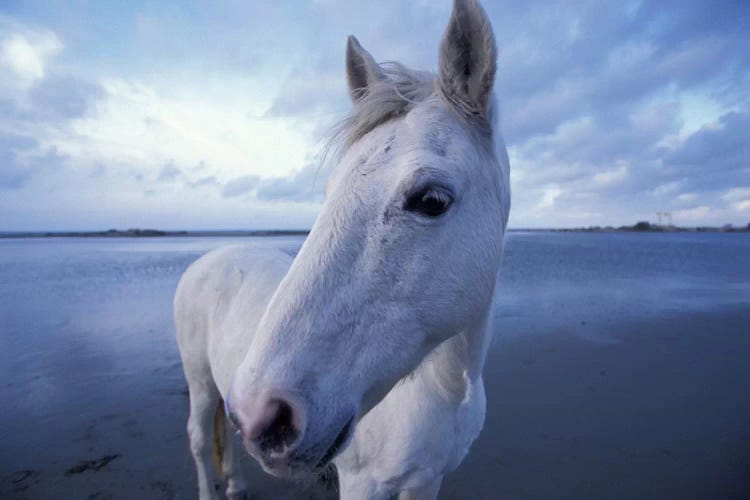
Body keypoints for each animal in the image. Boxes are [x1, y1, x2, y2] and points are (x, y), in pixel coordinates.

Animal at [174, 1, 512, 498]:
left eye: (432, 200)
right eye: (330, 190)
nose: (263, 415)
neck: (444, 388)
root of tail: (210, 258)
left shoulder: (427, 481)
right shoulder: (361, 483)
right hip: (199, 381)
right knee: (199, 440)